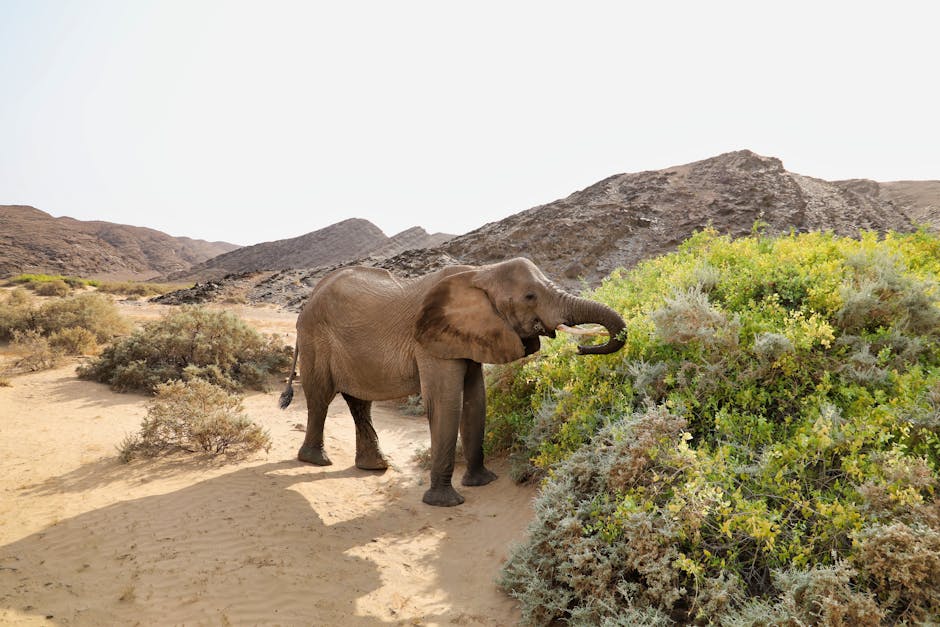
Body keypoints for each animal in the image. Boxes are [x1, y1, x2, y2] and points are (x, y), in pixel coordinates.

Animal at [279, 257, 626, 506]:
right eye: (530, 296)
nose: (582, 349)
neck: (481, 274)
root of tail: (309, 299)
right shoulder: (431, 342)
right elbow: (447, 402)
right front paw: (445, 502)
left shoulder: (470, 335)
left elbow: (476, 400)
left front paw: (483, 482)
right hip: (315, 338)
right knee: (321, 396)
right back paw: (316, 461)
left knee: (359, 401)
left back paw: (375, 466)